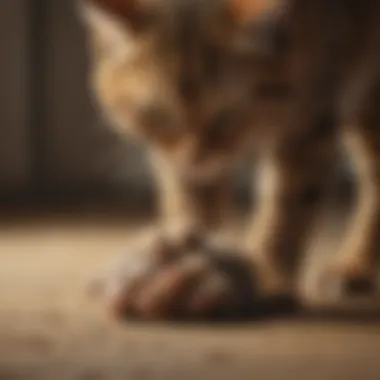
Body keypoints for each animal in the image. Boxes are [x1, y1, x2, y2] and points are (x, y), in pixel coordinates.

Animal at [78, 0, 380, 320]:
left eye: (225, 116)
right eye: (157, 116)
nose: (193, 154)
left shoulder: (310, 123)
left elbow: (287, 210)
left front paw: (264, 275)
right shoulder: (178, 162)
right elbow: (191, 205)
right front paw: (187, 251)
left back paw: (354, 266)